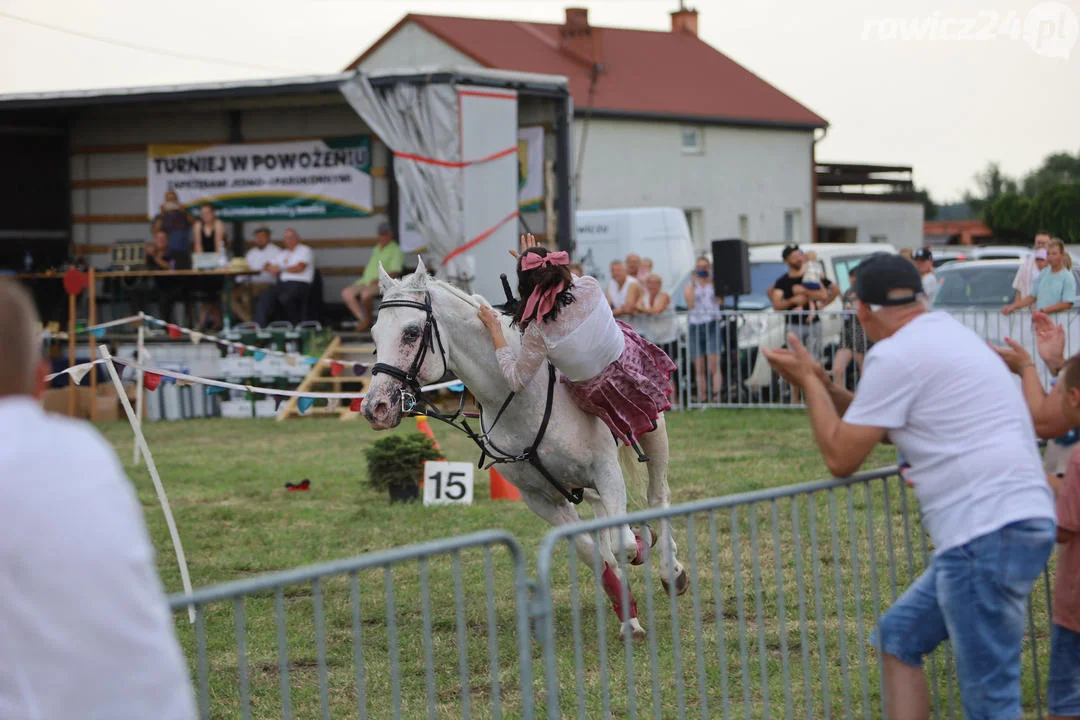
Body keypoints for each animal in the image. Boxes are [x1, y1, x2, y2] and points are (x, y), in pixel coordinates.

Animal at [358, 262, 686, 639]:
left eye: (411, 333)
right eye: (375, 334)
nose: (375, 407)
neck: (520, 397)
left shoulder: (605, 472)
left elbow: (624, 543)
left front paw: (641, 554)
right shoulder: (540, 498)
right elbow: (592, 552)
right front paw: (627, 614)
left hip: (654, 429)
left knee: (658, 495)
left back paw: (671, 570)